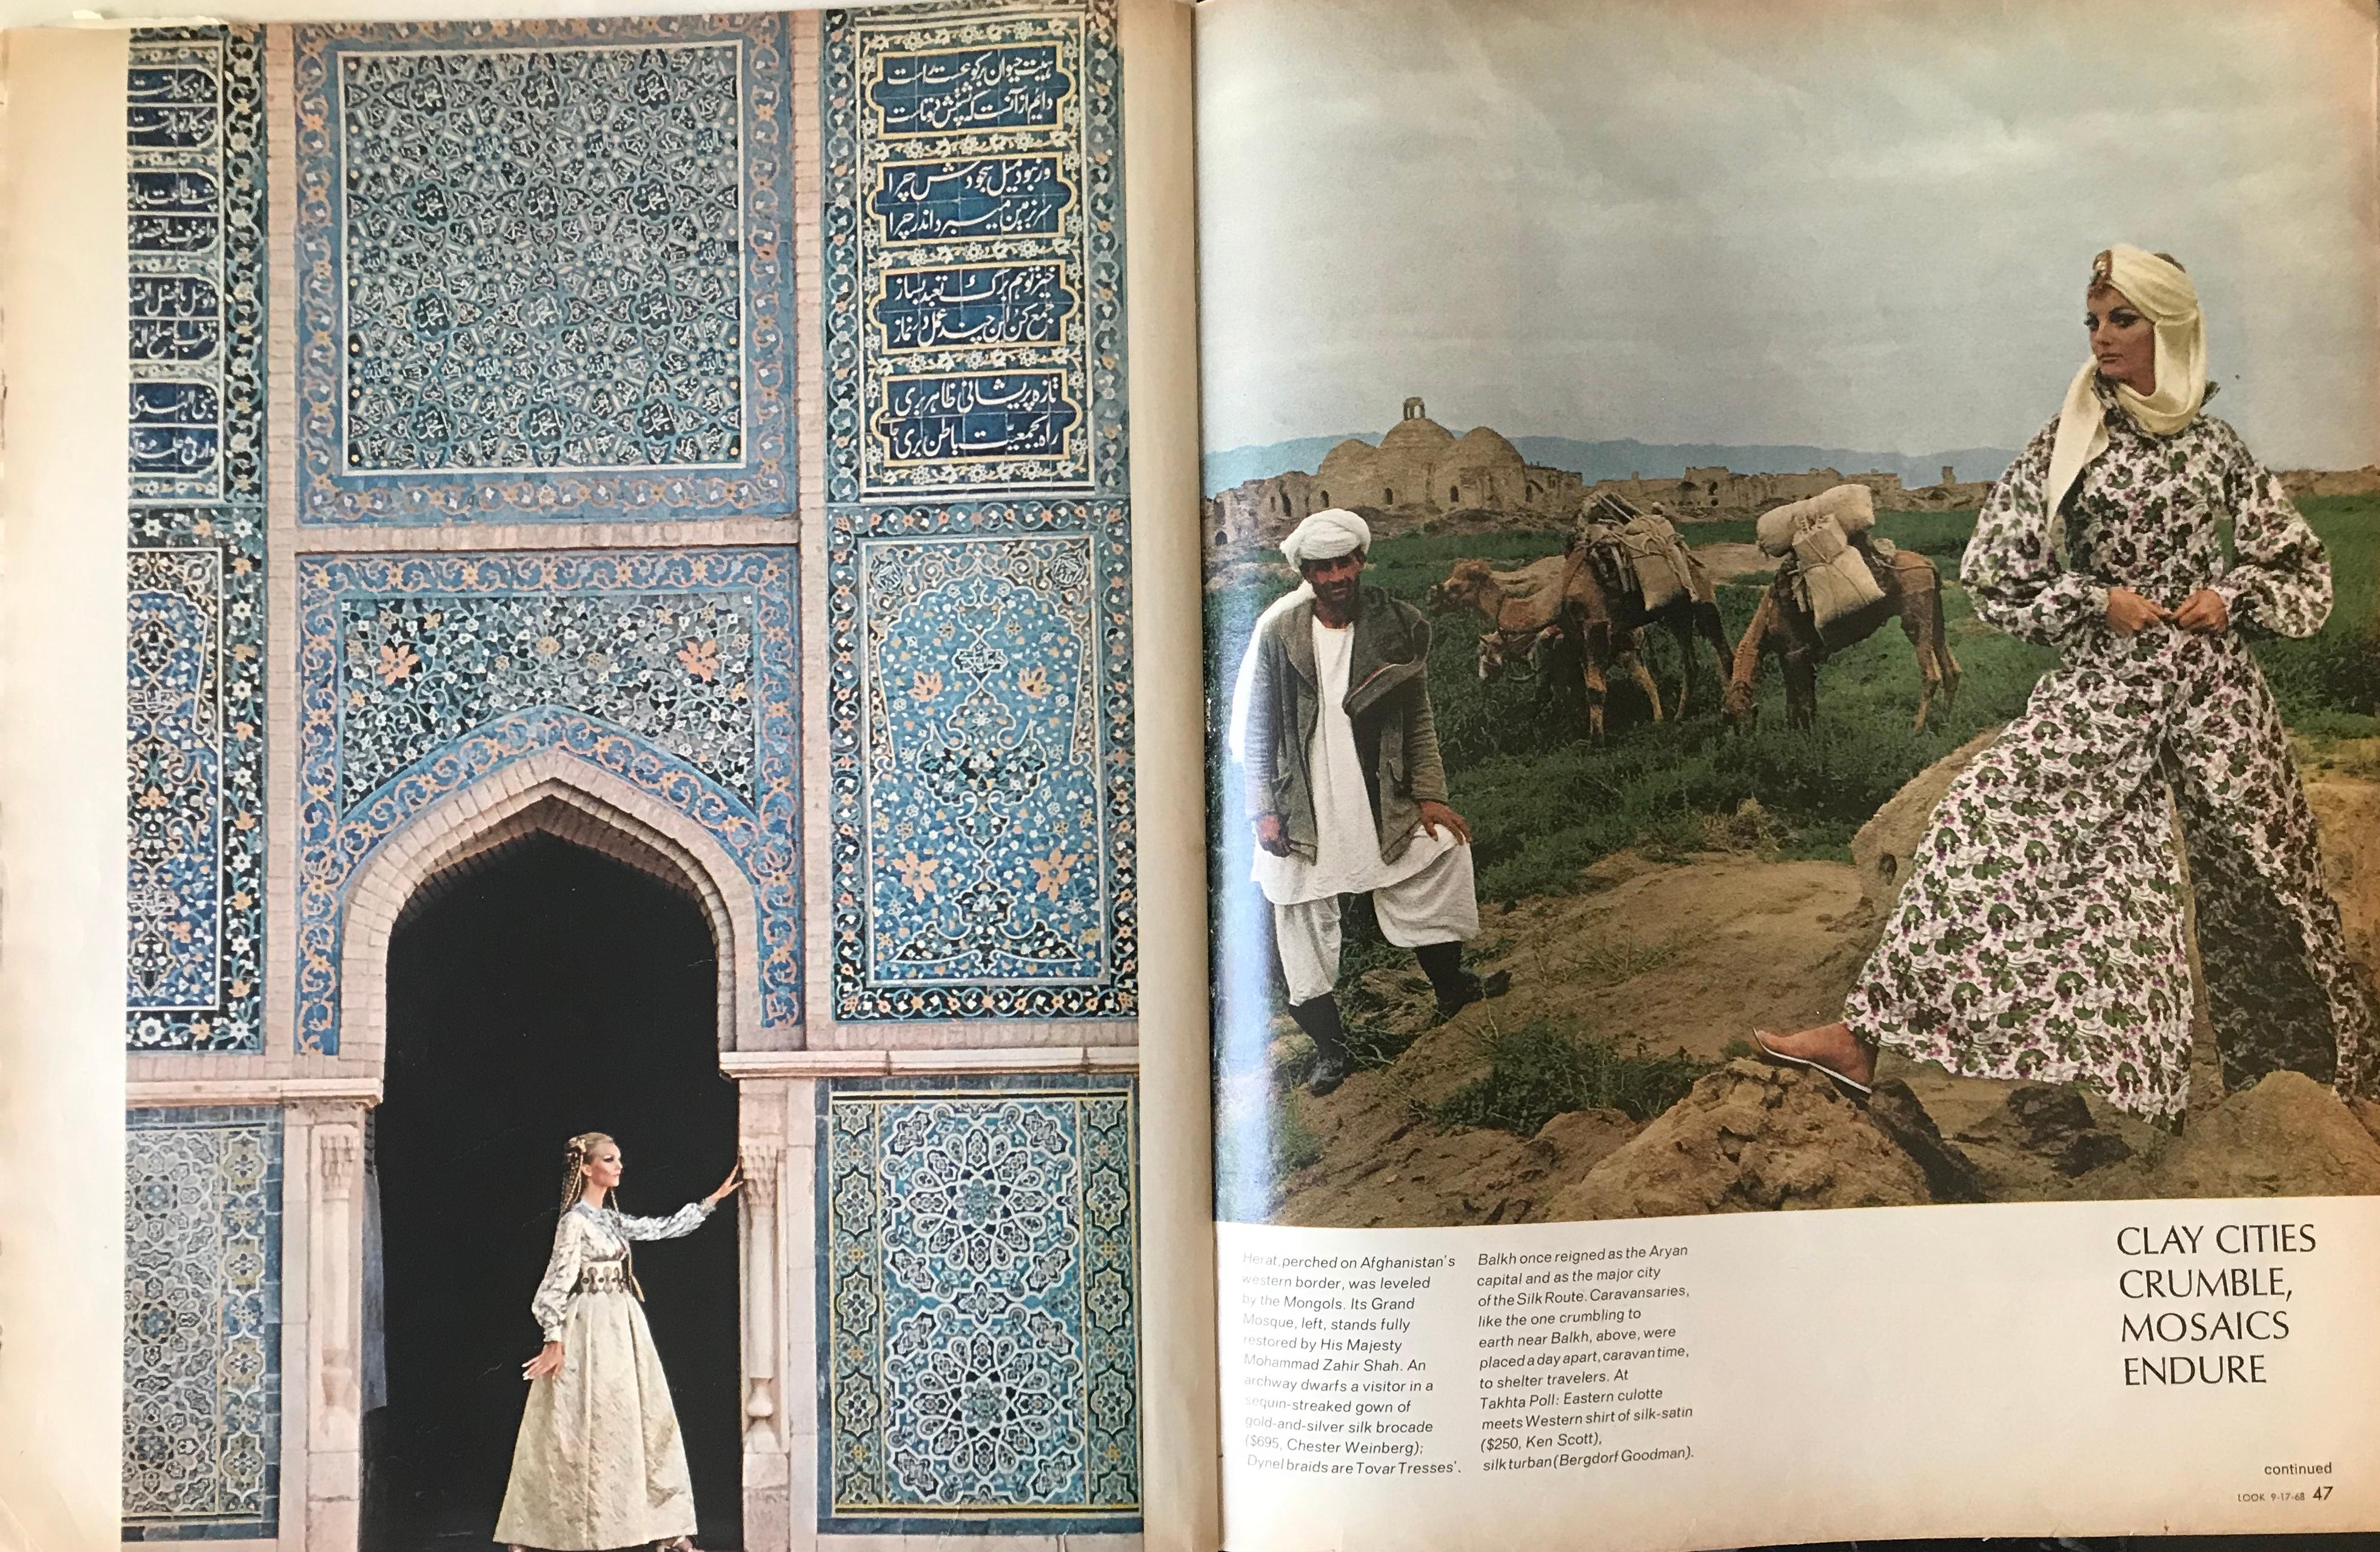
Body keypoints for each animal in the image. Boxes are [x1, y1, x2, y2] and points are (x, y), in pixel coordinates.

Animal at [1723, 540, 1961, 733]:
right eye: (1732, 721)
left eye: (1740, 718)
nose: (1744, 737)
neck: (1768, 618)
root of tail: (1929, 564)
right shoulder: (1794, 655)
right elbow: (1799, 701)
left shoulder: (1795, 653)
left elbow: (1803, 701)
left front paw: (1807, 737)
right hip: (1935, 610)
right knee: (1951, 668)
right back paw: (1944, 722)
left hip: (1915, 612)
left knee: (1931, 675)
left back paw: (1917, 730)